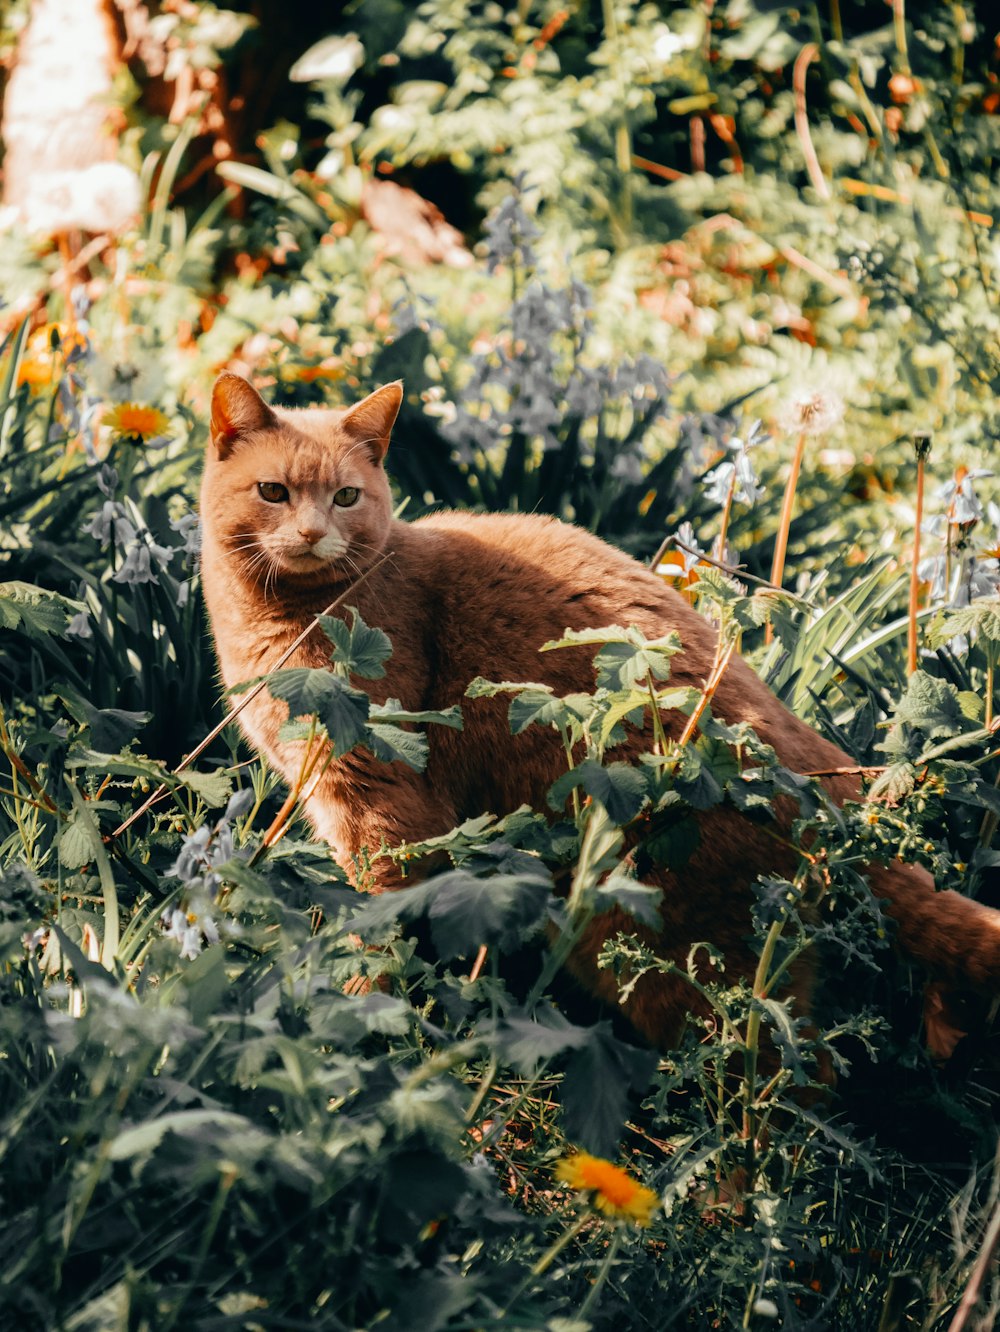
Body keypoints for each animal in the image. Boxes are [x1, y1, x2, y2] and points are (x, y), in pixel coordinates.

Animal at [199, 370, 1000, 1044]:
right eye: (273, 492)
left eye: (345, 497)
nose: (311, 532)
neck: (286, 619)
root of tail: (828, 779)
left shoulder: (382, 802)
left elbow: (373, 929)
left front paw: (348, 1017)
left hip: (654, 944)